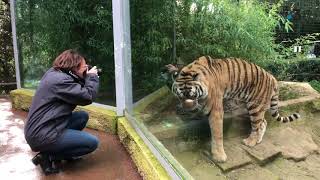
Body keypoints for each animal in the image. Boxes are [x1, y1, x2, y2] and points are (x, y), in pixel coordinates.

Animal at [166, 55, 298, 162]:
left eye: (192, 95)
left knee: (256, 125)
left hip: (255, 106)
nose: (187, 106)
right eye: (180, 96)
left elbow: (217, 134)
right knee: (263, 122)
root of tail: (272, 77)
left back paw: (250, 142)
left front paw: (219, 156)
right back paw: (258, 140)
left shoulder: (216, 111)